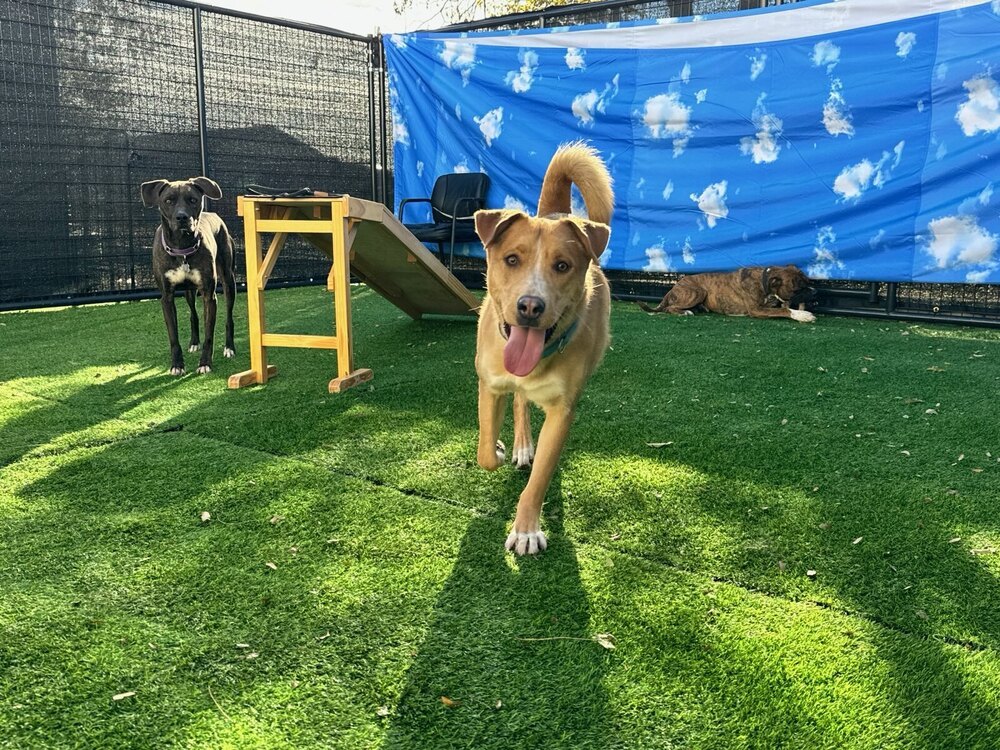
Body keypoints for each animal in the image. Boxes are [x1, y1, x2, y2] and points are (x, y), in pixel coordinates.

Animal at [140, 177, 237, 376]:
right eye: (168, 200)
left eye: (193, 200)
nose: (182, 217)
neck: (181, 247)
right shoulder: (167, 298)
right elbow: (173, 337)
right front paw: (177, 365)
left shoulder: (209, 295)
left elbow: (209, 335)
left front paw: (205, 363)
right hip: (189, 291)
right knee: (193, 314)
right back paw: (193, 343)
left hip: (229, 280)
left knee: (229, 317)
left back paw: (229, 347)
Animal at [472, 141, 612, 556]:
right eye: (511, 259)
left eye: (562, 266)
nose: (531, 306)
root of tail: (555, 212)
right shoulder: (489, 383)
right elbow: (484, 451)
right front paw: (499, 450)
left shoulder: (563, 411)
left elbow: (539, 480)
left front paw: (526, 530)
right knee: (519, 401)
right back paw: (520, 445)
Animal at [640, 264, 812, 324]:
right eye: (797, 289)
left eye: (808, 281)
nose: (814, 291)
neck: (765, 282)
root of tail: (673, 287)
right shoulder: (756, 310)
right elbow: (784, 309)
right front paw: (803, 315)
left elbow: (782, 305)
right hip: (698, 291)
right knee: (669, 308)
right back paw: (686, 312)